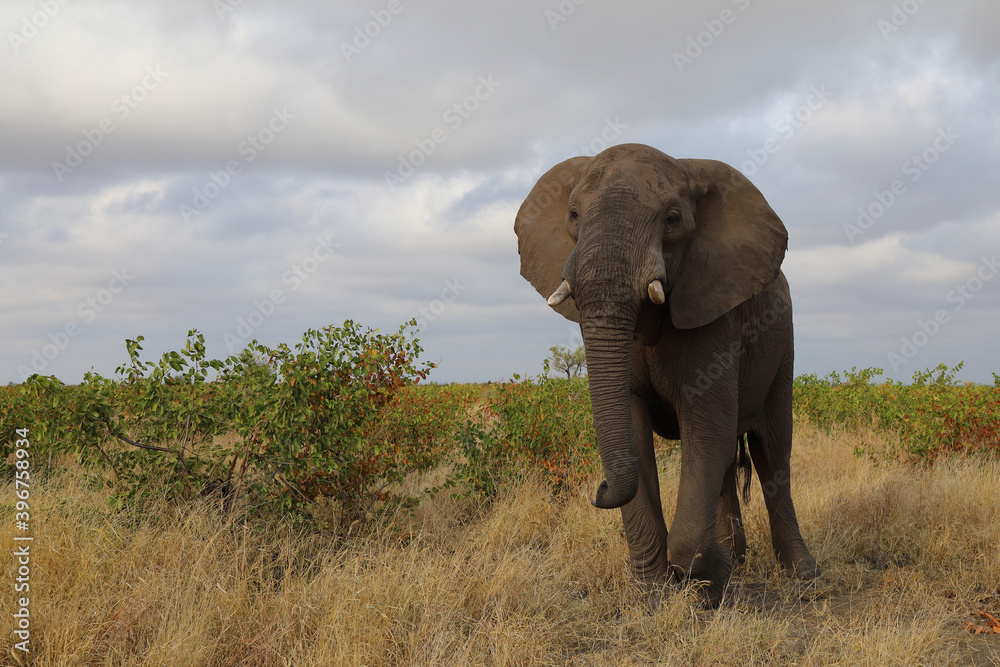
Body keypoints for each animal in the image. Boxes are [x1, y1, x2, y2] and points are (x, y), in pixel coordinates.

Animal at [514, 143, 818, 607]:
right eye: (573, 215)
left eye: (673, 220)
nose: (599, 490)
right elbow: (636, 434)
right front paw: (656, 593)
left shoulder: (714, 311)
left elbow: (705, 430)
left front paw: (708, 580)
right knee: (730, 461)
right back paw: (736, 555)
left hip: (782, 345)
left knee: (772, 451)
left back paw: (803, 574)